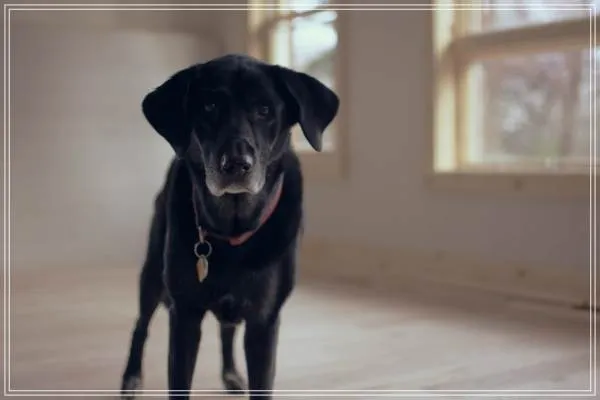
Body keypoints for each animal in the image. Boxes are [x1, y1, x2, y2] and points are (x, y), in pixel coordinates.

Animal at [119, 54, 339, 400]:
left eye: (264, 110)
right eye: (209, 106)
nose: (236, 165)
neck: (233, 229)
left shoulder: (264, 321)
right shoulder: (185, 315)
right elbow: (179, 380)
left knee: (226, 330)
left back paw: (231, 374)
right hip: (153, 271)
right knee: (141, 324)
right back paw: (131, 377)